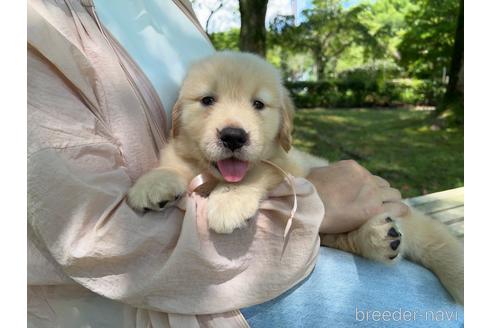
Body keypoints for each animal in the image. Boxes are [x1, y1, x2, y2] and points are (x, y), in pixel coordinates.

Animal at [126, 52, 462, 304]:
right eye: (207, 100)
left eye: (258, 104)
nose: (233, 137)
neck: (210, 173)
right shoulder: (183, 155)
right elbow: (174, 165)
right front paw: (152, 183)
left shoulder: (290, 164)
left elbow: (258, 170)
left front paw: (228, 203)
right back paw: (381, 237)